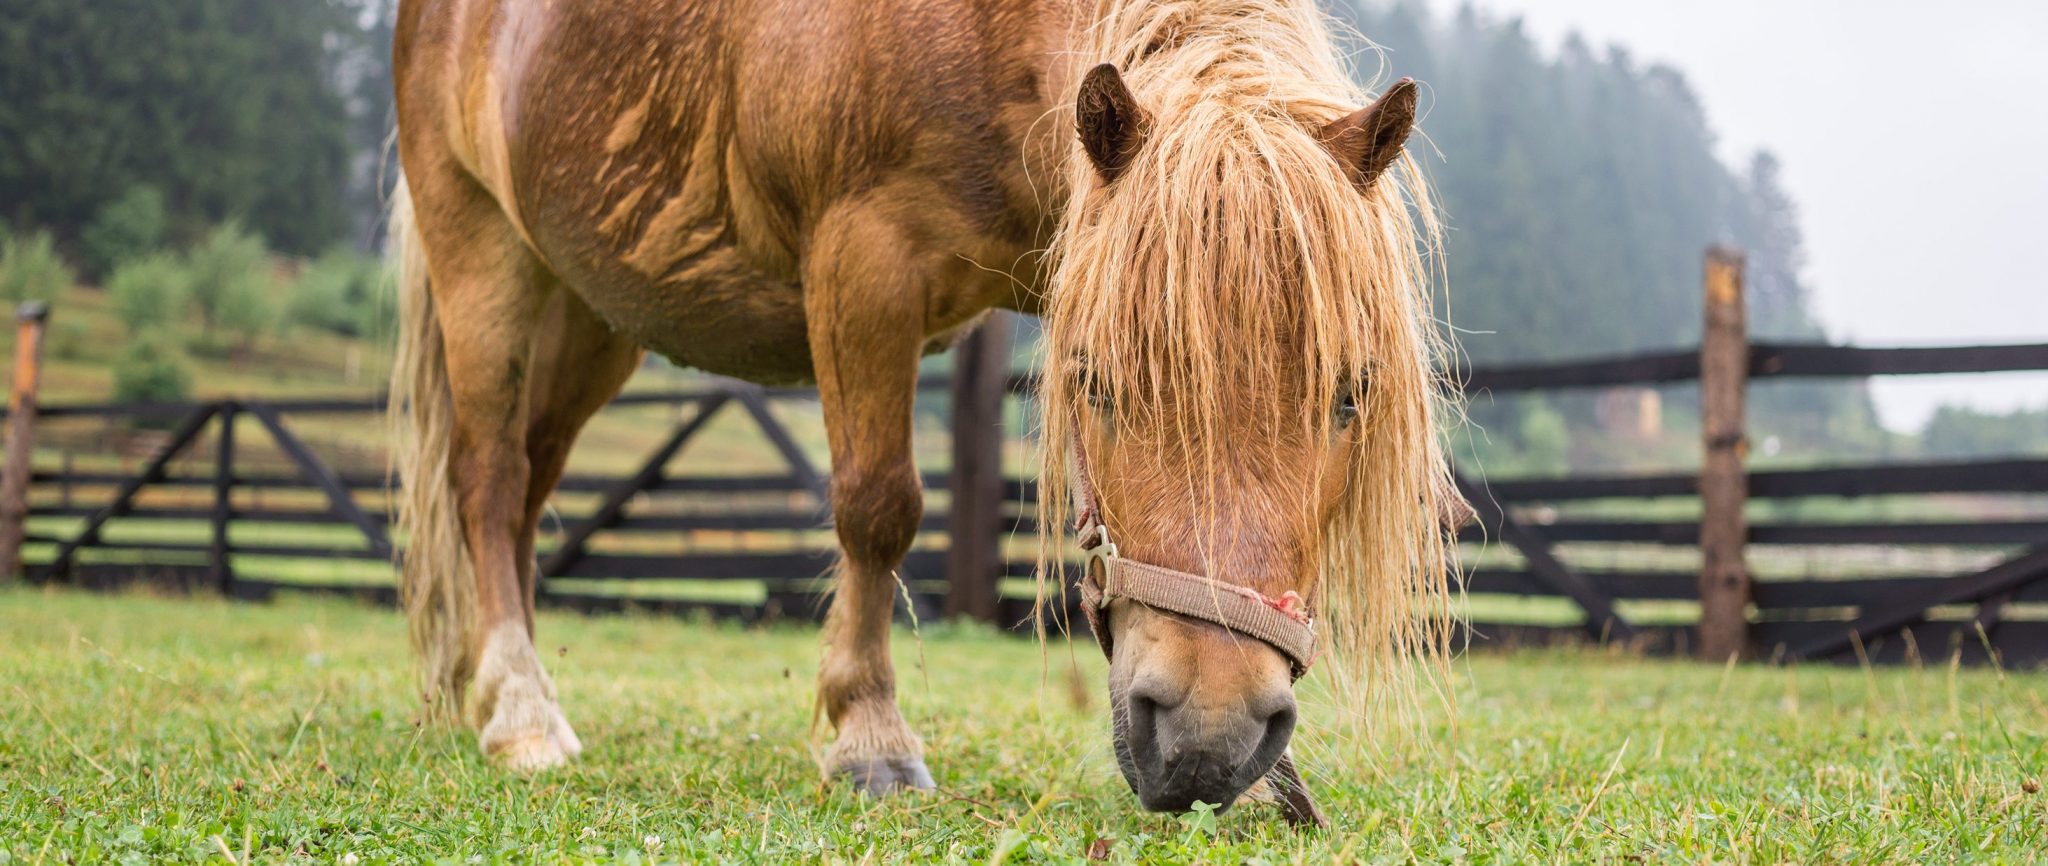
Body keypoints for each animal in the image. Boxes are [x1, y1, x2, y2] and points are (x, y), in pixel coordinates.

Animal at [388, 0, 1459, 814]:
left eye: (1350, 394)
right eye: (1094, 381)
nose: (1207, 734)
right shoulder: (862, 262)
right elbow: (879, 507)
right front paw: (868, 733)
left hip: (591, 314)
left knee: (526, 491)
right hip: (482, 254)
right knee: (489, 479)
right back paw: (519, 708)